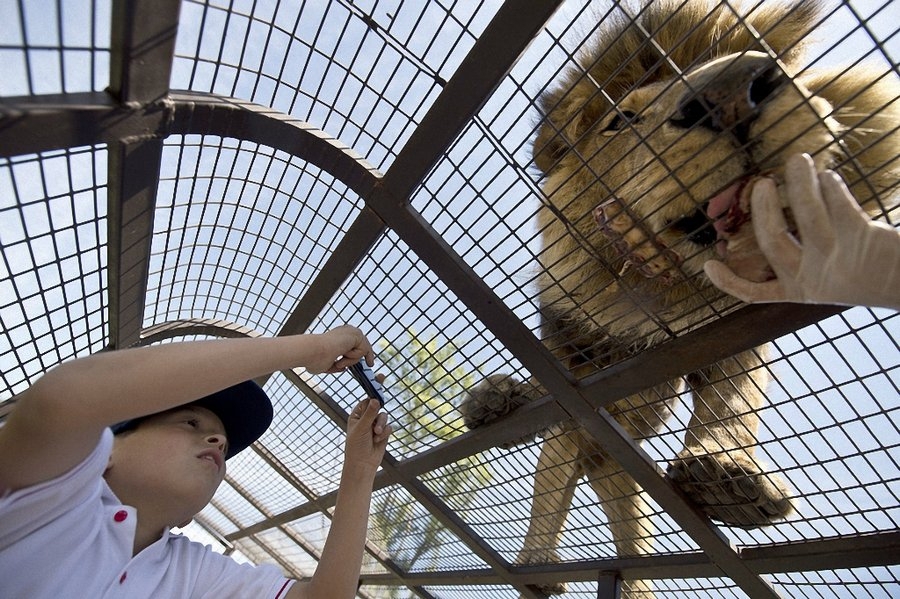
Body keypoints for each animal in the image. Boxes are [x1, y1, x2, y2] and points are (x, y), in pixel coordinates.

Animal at [460, 0, 896, 596]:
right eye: (621, 119)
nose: (735, 90)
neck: (661, 287)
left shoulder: (735, 333)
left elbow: (731, 401)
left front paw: (724, 477)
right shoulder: (578, 345)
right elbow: (556, 394)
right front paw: (509, 395)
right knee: (556, 463)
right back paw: (532, 543)